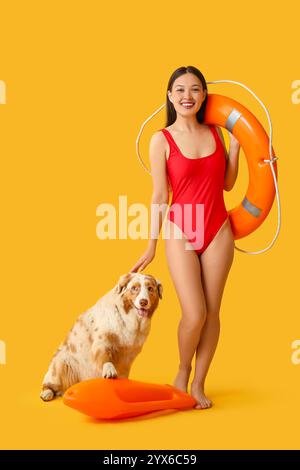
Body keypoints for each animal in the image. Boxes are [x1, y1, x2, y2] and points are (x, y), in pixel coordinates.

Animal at [40, 272, 163, 400]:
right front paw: (109, 370)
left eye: (150, 288)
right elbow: (105, 357)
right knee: (49, 383)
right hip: (61, 363)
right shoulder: (102, 340)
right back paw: (46, 393)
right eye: (134, 288)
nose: (143, 302)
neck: (130, 320)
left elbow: (124, 371)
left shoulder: (129, 354)